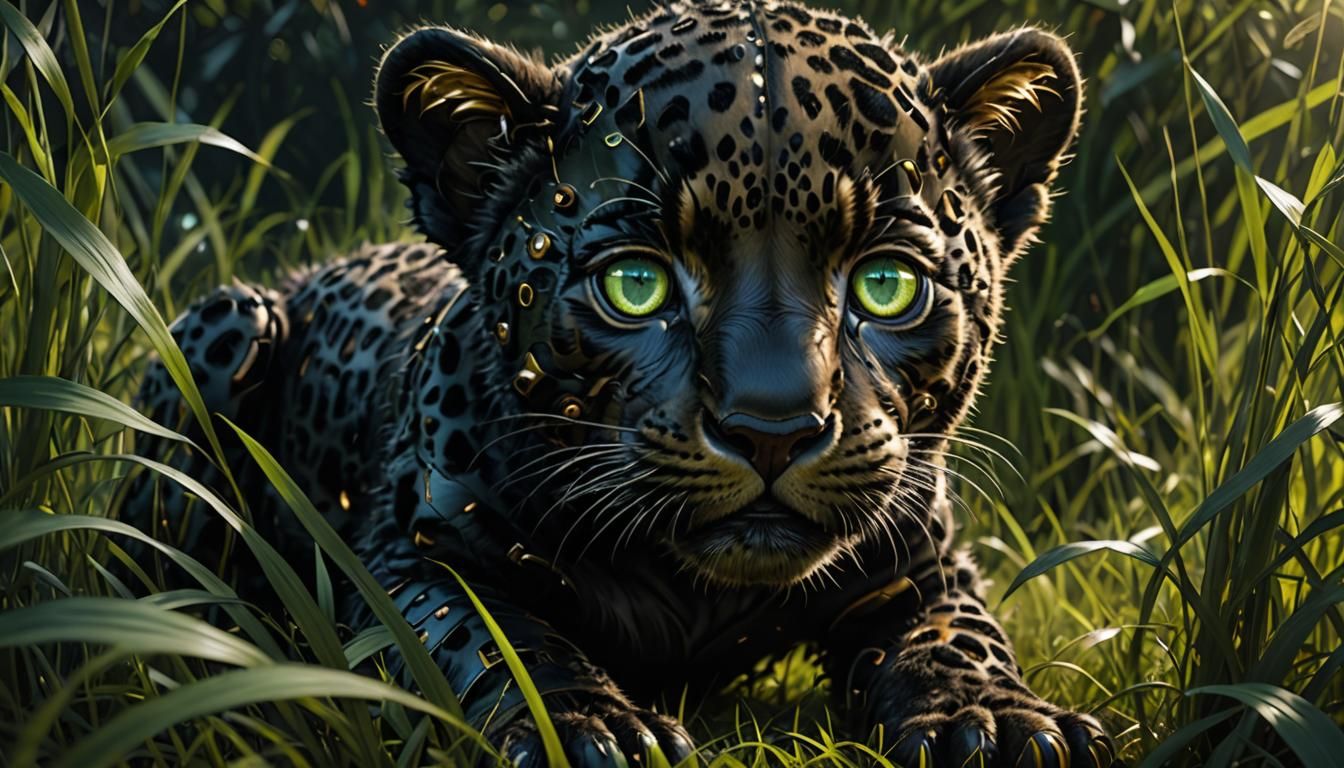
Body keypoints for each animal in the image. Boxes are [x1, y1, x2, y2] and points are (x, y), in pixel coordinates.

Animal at [126, 1, 1117, 765]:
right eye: (635, 285)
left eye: (887, 286)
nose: (772, 428)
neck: (696, 592)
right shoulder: (413, 555)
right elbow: (489, 637)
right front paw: (587, 723)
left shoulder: (921, 567)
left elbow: (961, 638)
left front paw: (994, 719)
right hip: (230, 322)